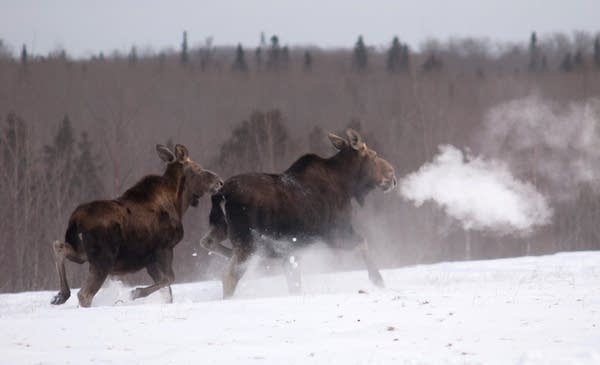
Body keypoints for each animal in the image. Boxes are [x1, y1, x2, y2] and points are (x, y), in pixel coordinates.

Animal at [51, 144, 223, 306]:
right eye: (198, 169)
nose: (219, 182)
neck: (179, 204)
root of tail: (76, 219)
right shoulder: (164, 249)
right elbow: (169, 279)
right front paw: (135, 292)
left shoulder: (150, 259)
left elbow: (167, 292)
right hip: (103, 258)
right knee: (84, 294)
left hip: (84, 252)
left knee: (59, 246)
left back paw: (60, 295)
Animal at [202, 129, 396, 298]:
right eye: (374, 155)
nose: (392, 175)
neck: (347, 185)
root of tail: (222, 193)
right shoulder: (335, 233)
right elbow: (363, 243)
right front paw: (378, 280)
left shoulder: (293, 251)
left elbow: (294, 283)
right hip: (247, 242)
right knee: (229, 276)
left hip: (222, 228)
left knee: (206, 242)